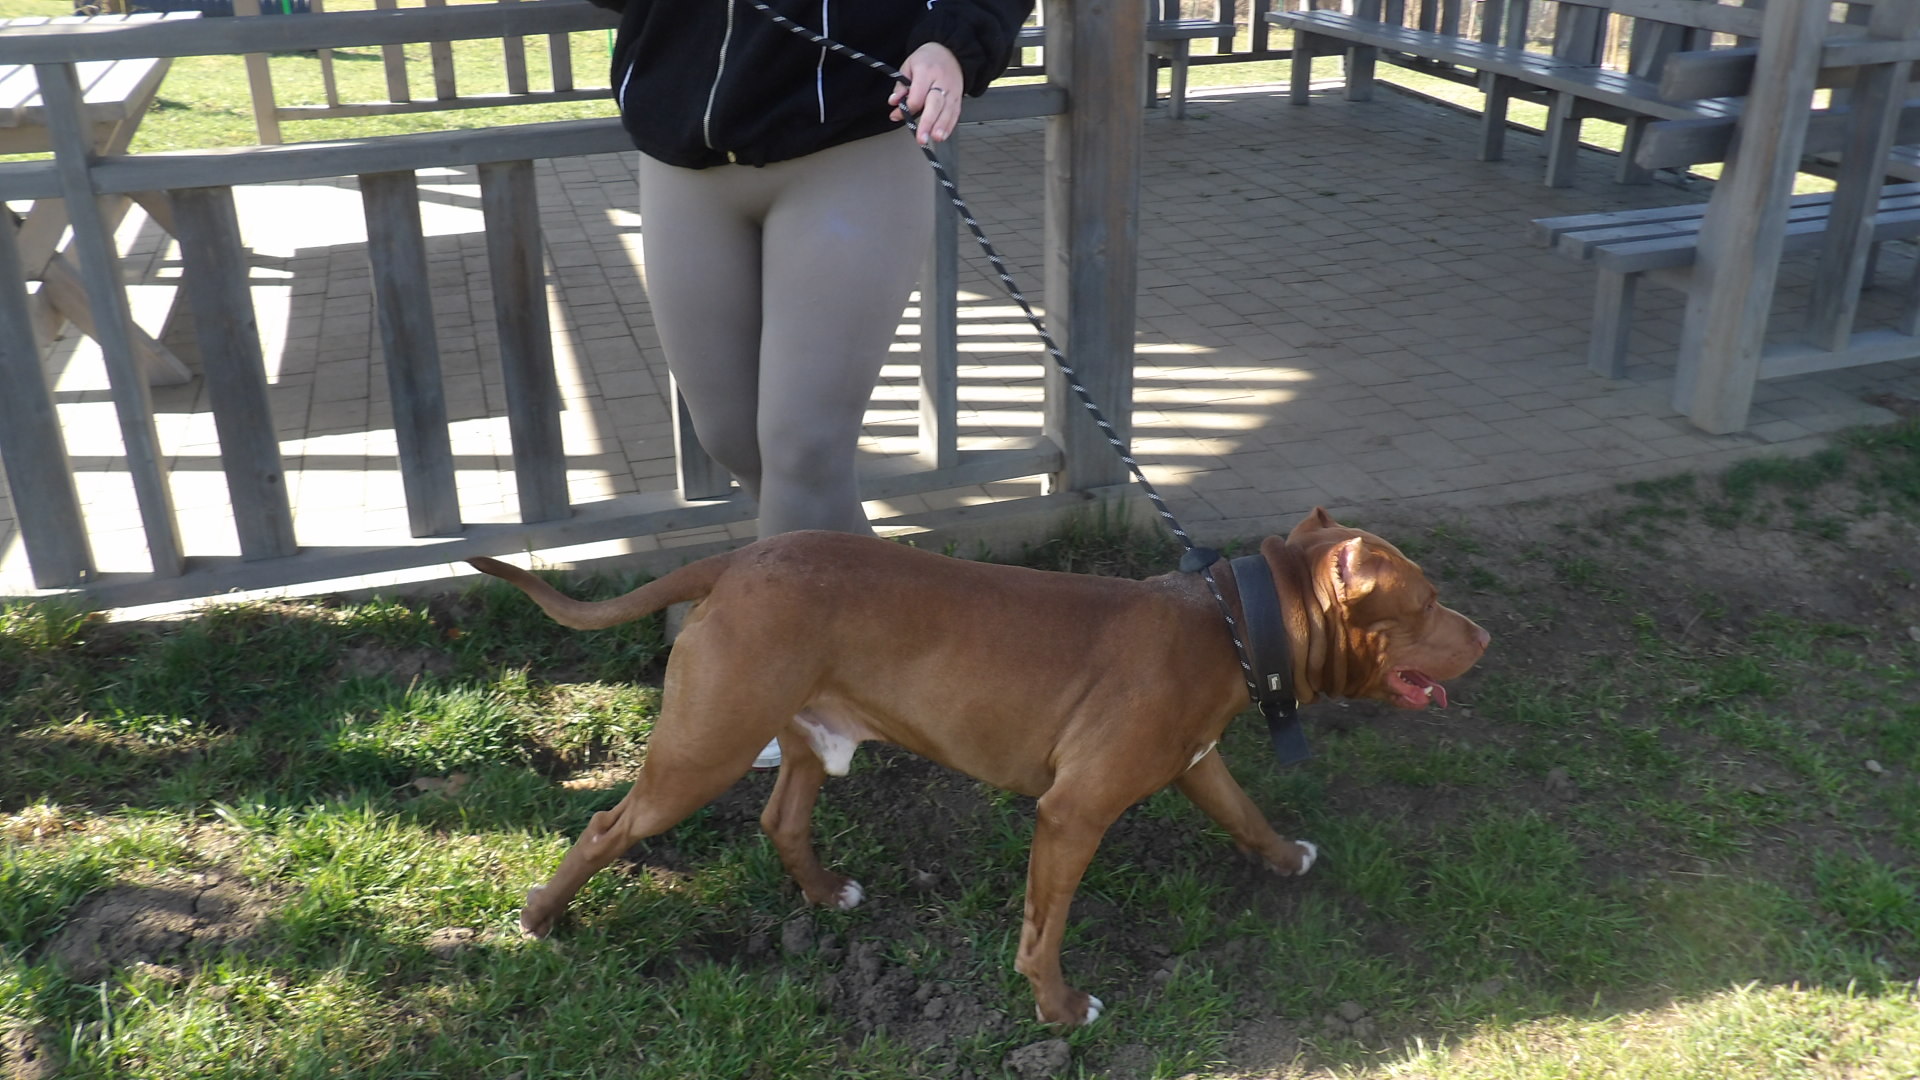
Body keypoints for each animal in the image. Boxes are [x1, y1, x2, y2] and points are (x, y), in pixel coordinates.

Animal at [468, 507, 1487, 1027]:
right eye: (1428, 601)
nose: (1484, 635)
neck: (1235, 623)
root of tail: (736, 558)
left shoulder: (1197, 764)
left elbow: (1247, 814)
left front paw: (1284, 860)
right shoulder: (1073, 813)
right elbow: (1044, 928)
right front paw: (1059, 1007)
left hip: (804, 736)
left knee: (780, 818)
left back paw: (825, 894)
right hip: (701, 752)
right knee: (606, 825)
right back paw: (541, 917)